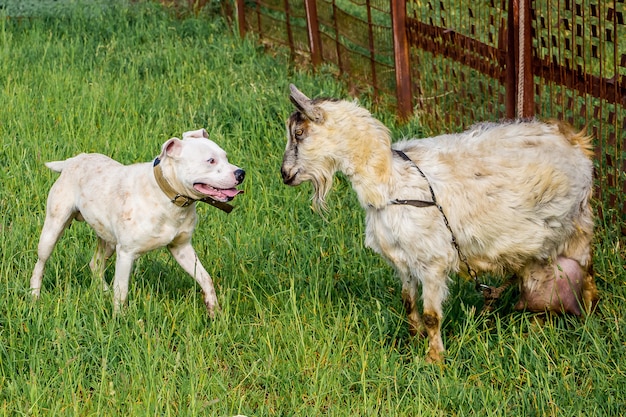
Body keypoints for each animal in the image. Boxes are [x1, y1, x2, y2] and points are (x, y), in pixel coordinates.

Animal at [31, 128, 244, 314]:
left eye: (226, 156)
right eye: (210, 160)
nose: (241, 173)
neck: (167, 196)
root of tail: (73, 160)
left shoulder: (182, 248)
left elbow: (205, 278)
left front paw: (214, 311)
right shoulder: (126, 253)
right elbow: (122, 291)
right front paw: (119, 320)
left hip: (108, 240)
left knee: (96, 264)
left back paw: (105, 293)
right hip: (53, 229)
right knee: (41, 264)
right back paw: (34, 296)